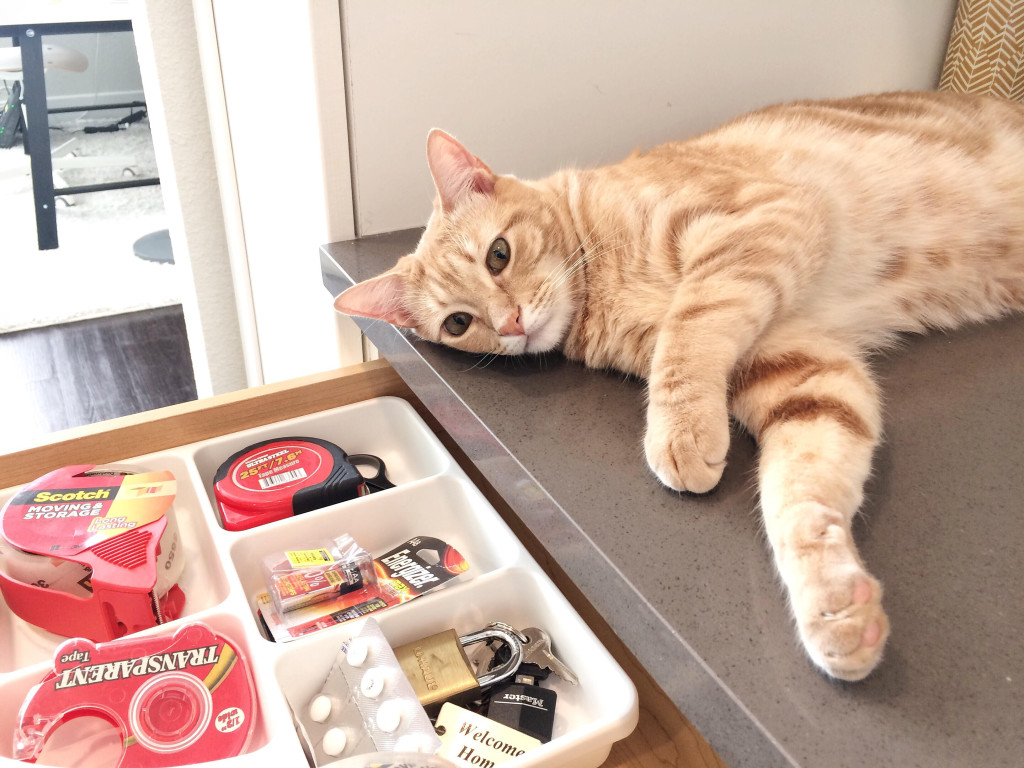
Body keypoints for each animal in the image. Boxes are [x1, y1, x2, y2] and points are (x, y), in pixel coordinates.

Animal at [333, 93, 1024, 684]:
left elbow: (689, 330)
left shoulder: (760, 219)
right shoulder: (799, 367)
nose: (511, 326)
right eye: (458, 323)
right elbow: (798, 491)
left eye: (498, 255)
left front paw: (680, 433)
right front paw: (833, 605)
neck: (600, 283)